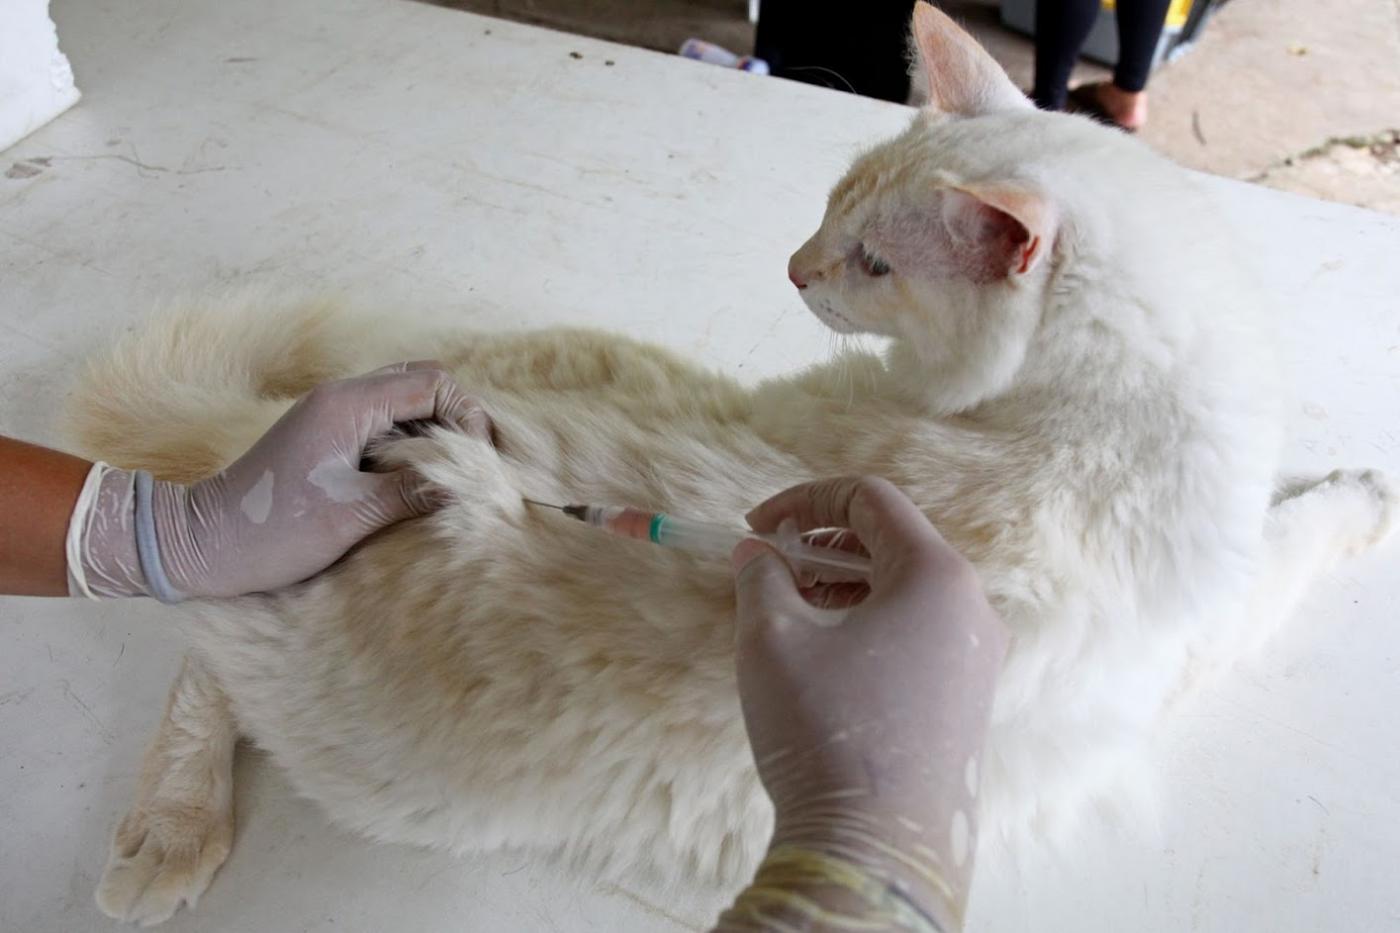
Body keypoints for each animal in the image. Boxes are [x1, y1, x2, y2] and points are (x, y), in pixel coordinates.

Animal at [76, 7, 1388, 924]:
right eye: (831, 214)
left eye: (871, 262)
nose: (794, 268)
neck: (1079, 404)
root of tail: (272, 457)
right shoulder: (1212, 606)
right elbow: (1301, 534)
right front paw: (1358, 494)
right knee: (192, 652)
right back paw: (168, 837)